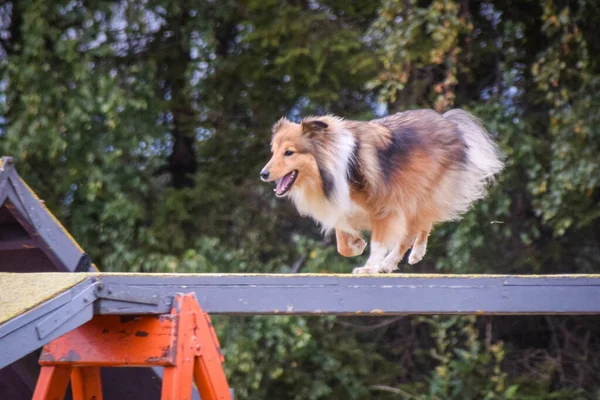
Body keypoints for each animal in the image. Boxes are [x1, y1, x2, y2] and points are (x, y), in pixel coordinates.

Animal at [260, 108, 504, 274]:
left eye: (289, 152)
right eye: (273, 152)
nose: (263, 173)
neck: (331, 164)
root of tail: (450, 122)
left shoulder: (385, 206)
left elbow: (378, 242)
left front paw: (368, 266)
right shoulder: (342, 203)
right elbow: (342, 240)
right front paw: (356, 244)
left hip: (421, 193)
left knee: (419, 226)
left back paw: (402, 257)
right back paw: (393, 262)